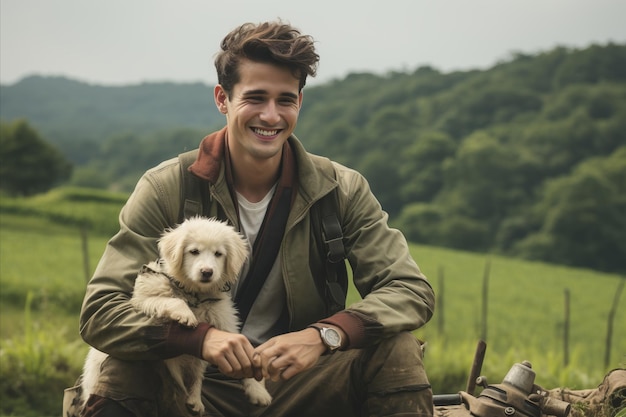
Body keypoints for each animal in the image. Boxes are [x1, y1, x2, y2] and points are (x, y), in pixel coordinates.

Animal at [80, 216, 270, 412]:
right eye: (194, 251)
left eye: (218, 254)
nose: (207, 272)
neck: (194, 294)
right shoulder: (143, 298)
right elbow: (172, 300)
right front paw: (186, 315)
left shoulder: (223, 319)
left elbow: (244, 350)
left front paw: (257, 389)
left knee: (195, 376)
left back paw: (195, 401)